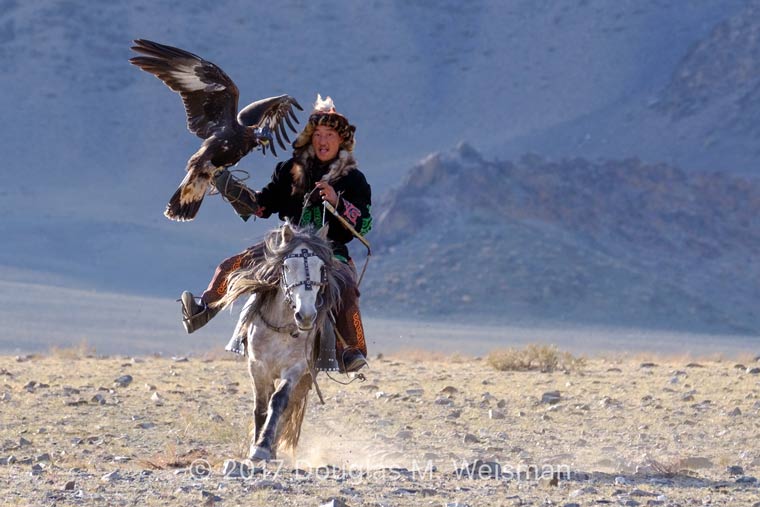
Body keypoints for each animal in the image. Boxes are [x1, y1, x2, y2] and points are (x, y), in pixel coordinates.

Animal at [215, 222, 352, 460]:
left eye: (321, 268)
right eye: (287, 266)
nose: (305, 316)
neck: (283, 328)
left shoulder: (296, 368)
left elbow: (279, 401)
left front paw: (263, 446)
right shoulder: (257, 366)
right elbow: (261, 404)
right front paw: (256, 444)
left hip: (307, 377)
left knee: (290, 404)